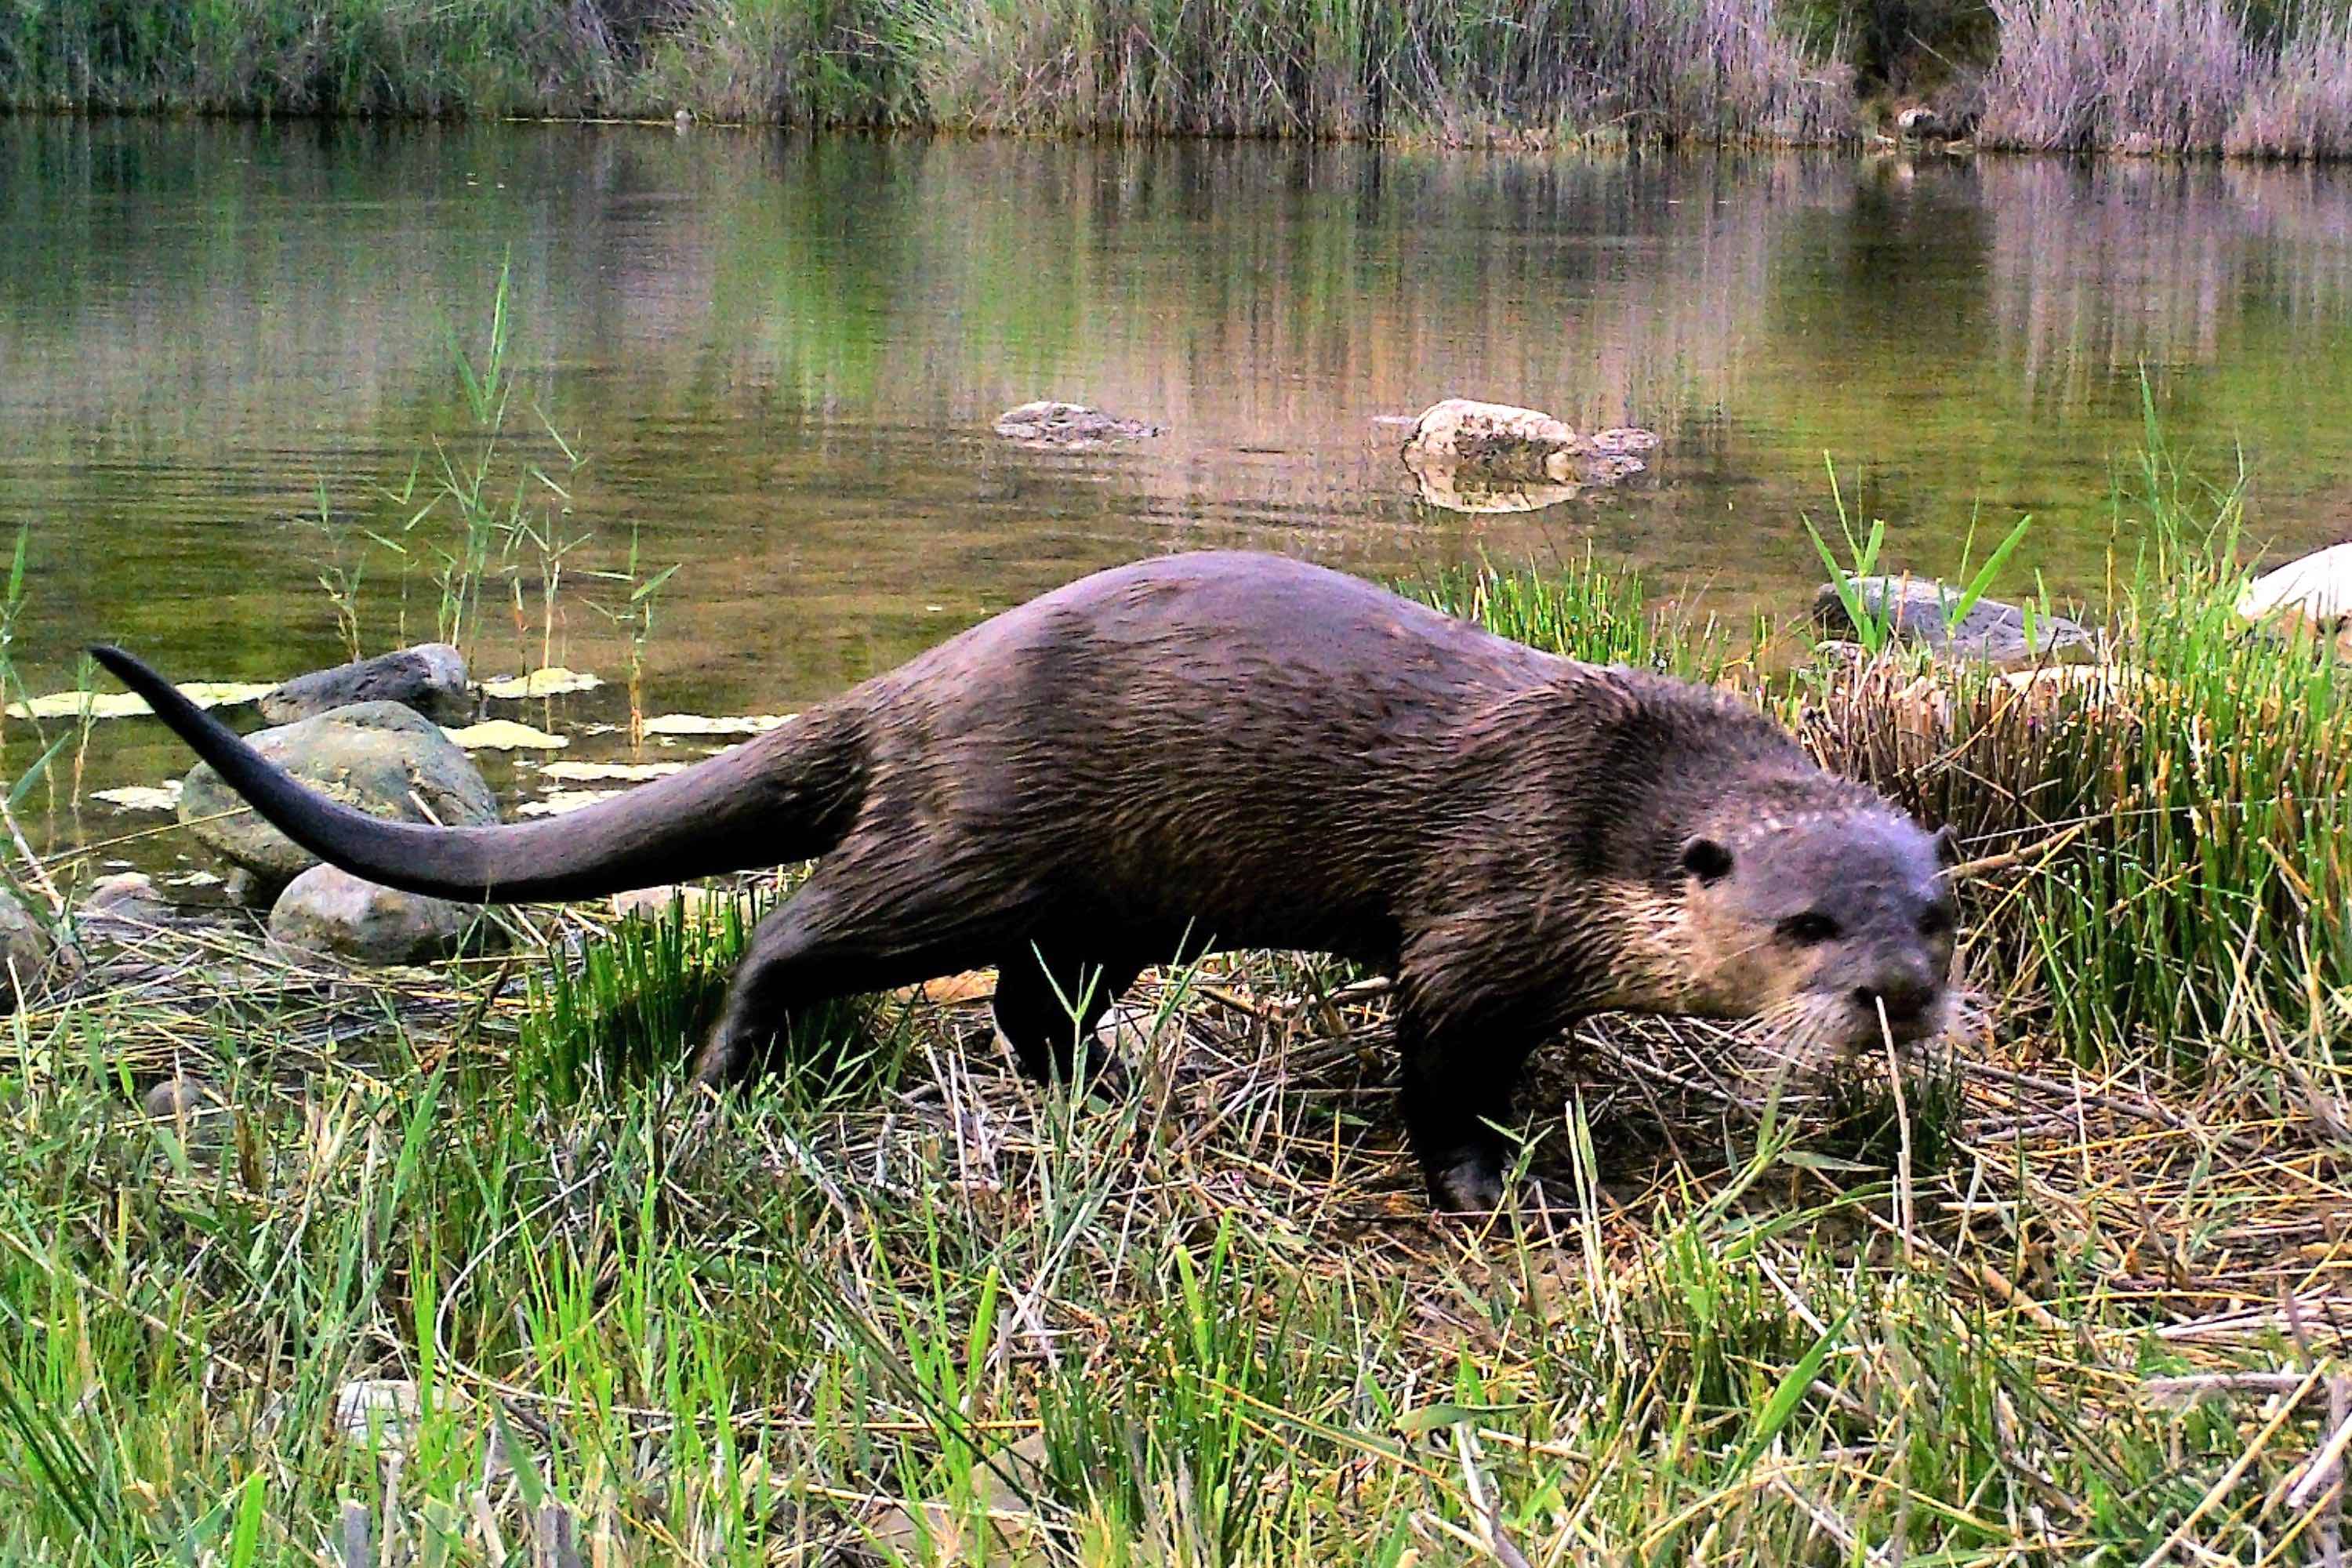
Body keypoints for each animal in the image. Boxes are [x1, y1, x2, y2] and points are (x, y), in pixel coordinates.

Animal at [92, 552, 1957, 1213]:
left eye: (1935, 920)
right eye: (1800, 925)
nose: (1895, 998)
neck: (1607, 806)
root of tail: (920, 684)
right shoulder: (1478, 911)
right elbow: (1435, 1062)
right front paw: (1492, 1186)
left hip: (1106, 902)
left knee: (1029, 1007)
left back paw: (1105, 1091)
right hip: (967, 842)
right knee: (806, 926)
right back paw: (730, 1065)